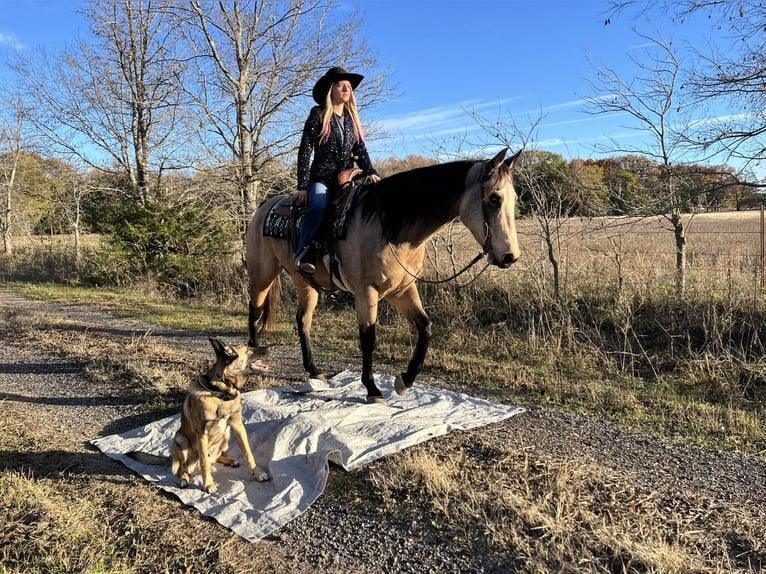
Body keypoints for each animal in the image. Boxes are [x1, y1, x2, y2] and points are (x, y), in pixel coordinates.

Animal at [130, 338, 274, 496]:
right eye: (249, 349)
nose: (272, 346)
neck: (221, 393)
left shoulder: (237, 426)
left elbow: (248, 453)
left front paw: (257, 474)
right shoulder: (202, 435)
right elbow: (204, 462)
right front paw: (208, 484)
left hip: (226, 435)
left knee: (215, 458)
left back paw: (229, 460)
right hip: (180, 439)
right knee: (184, 468)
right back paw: (184, 478)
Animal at [246, 147, 520, 404]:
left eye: (514, 199)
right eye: (494, 198)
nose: (510, 257)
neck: (391, 226)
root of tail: (264, 207)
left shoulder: (402, 290)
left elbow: (425, 328)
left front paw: (405, 381)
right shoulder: (366, 292)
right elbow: (368, 338)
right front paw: (372, 389)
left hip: (305, 283)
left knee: (302, 320)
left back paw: (314, 371)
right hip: (262, 274)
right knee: (255, 310)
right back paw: (252, 360)